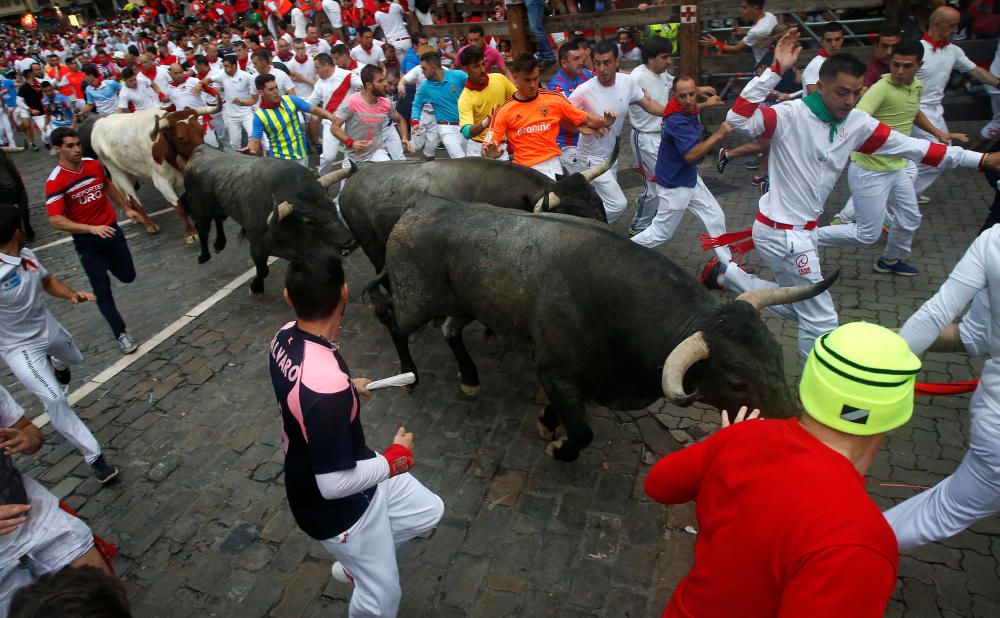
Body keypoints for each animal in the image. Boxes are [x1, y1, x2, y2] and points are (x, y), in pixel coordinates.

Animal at [182, 144, 358, 294]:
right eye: (308, 221)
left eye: (332, 205)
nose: (349, 242)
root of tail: (200, 150)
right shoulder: (257, 246)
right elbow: (263, 270)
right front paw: (255, 287)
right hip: (200, 209)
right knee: (203, 230)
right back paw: (203, 256)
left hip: (220, 206)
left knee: (218, 219)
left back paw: (219, 244)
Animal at [368, 200, 836, 460]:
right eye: (737, 381)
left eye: (776, 355)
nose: (792, 424)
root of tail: (417, 207)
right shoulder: (555, 370)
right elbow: (582, 431)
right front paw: (559, 448)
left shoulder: (582, 379)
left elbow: (566, 413)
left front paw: (547, 423)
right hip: (415, 300)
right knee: (393, 321)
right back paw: (409, 375)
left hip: (464, 303)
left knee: (450, 330)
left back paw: (469, 378)